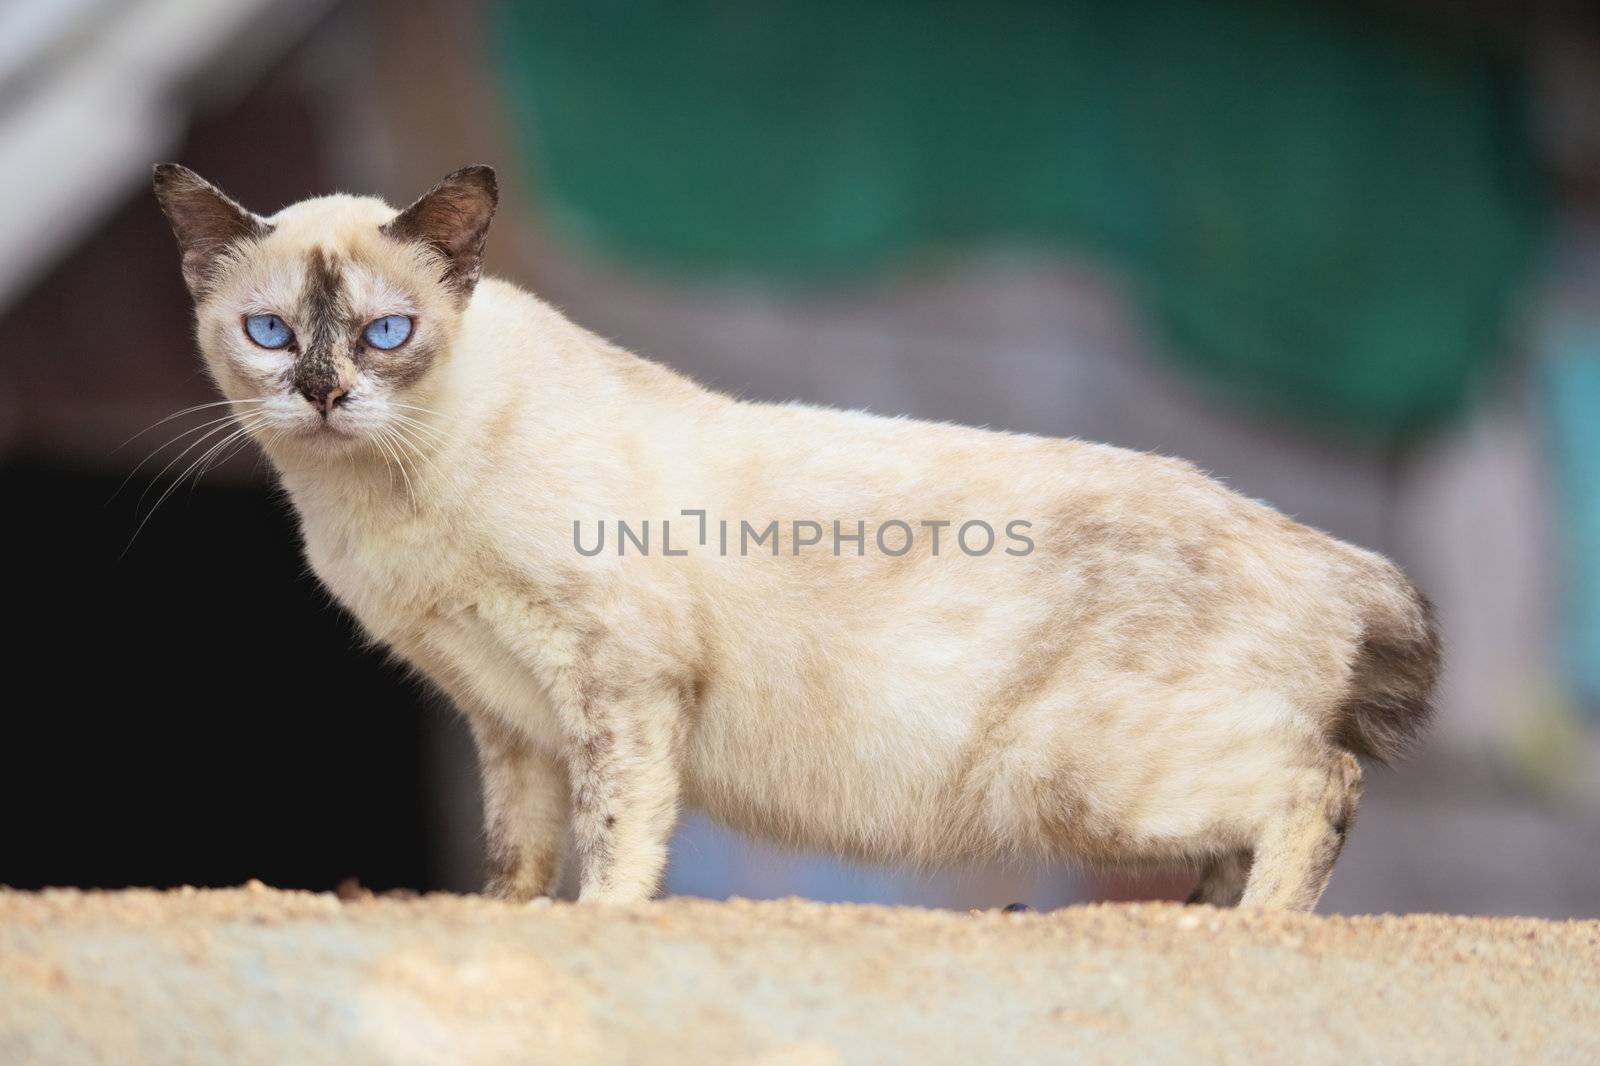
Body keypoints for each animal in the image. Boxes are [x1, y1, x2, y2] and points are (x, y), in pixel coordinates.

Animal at [156, 164, 1446, 902]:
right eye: (270, 333)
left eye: (386, 333)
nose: (324, 394)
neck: (379, 501)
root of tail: (1333, 553)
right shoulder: (507, 721)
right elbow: (512, 872)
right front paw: (509, 941)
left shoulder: (617, 685)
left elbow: (614, 852)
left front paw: (595, 937)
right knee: (1253, 831)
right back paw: (1193, 938)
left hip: (1074, 776)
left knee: (1315, 786)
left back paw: (1253, 945)